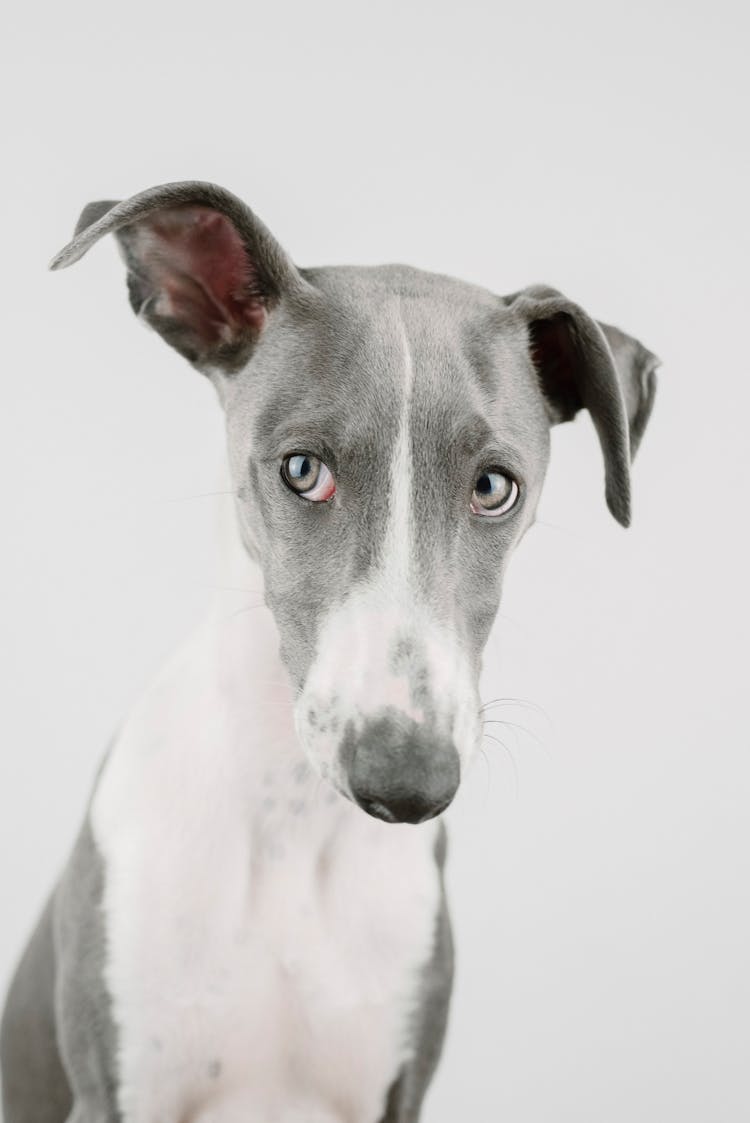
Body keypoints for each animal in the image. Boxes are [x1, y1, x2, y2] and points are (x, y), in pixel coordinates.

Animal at [0, 179, 655, 1118]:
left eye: (496, 487)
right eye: (303, 469)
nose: (407, 784)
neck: (290, 818)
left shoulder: (394, 1093)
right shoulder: (113, 1093)